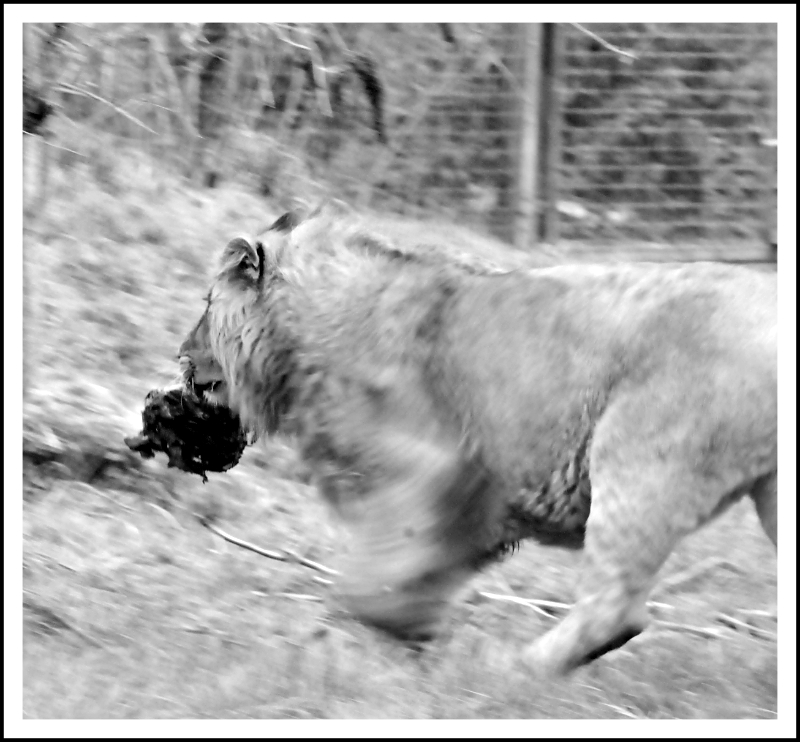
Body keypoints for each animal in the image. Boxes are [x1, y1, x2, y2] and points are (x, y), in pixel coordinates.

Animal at [178, 205, 777, 677]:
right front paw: (407, 639)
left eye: (206, 304)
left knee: (616, 608)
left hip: (638, 457)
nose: (181, 354)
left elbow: (379, 572)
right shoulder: (473, 506)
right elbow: (422, 570)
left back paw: (516, 672)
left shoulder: (437, 470)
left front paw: (382, 628)